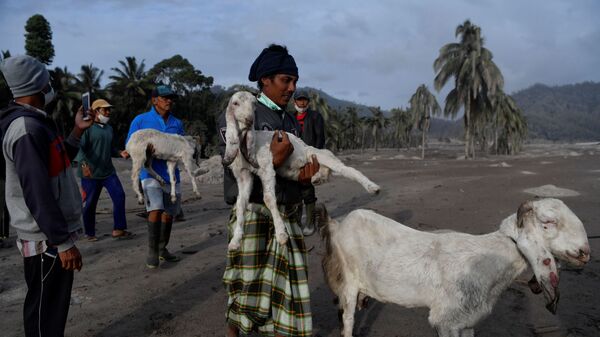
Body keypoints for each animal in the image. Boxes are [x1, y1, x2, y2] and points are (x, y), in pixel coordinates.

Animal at [223, 90, 382, 251]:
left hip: (320, 155)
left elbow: (268, 198)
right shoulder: (243, 175)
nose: (249, 119)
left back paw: (373, 188)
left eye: (254, 103)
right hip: (296, 169)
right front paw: (235, 241)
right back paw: (317, 178)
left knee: (346, 169)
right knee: (324, 171)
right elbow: (240, 203)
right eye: (235, 103)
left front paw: (281, 234)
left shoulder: (266, 167)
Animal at [318, 197, 592, 336]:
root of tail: (338, 225)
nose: (585, 252)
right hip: (348, 285)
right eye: (548, 221)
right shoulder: (445, 320)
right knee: (348, 321)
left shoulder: (466, 321)